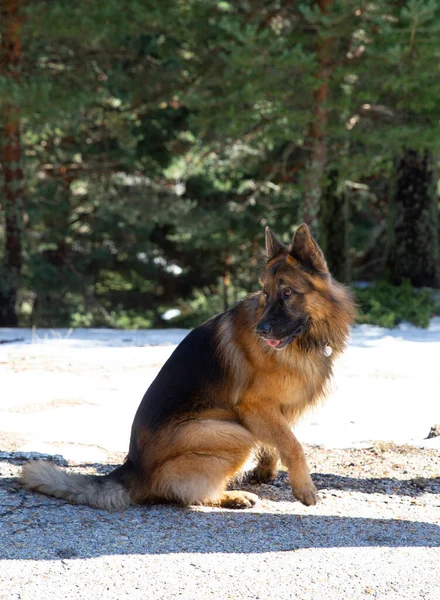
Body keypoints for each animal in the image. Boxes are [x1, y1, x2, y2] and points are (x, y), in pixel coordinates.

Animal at [21, 225, 358, 510]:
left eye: (287, 293)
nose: (261, 331)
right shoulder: (255, 407)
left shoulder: (278, 412)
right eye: (265, 293)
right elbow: (293, 444)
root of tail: (132, 470)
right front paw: (305, 489)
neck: (306, 340)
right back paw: (231, 496)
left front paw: (267, 471)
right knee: (182, 493)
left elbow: (278, 443)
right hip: (235, 433)